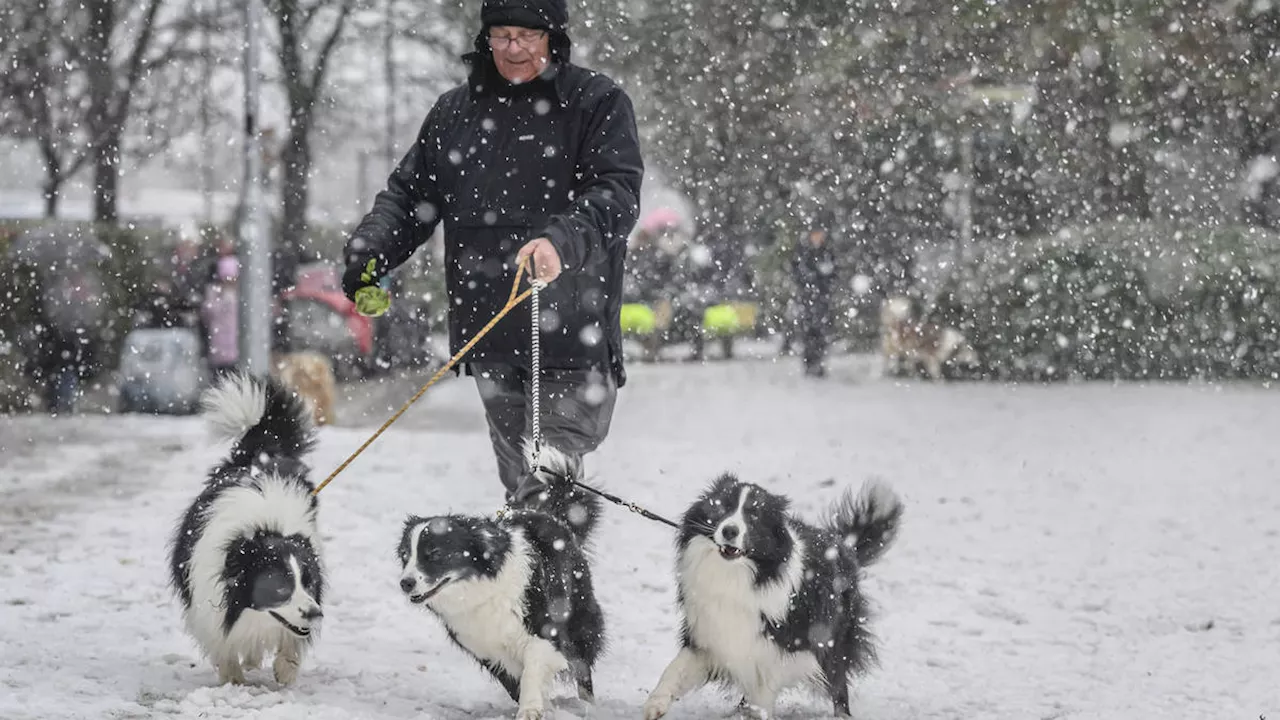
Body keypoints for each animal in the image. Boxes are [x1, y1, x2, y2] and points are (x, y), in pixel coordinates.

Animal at [167, 368, 327, 681]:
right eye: (280, 588)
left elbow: (289, 642)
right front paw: (234, 680)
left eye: (309, 582)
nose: (316, 614)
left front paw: (285, 669)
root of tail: (257, 453)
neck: (265, 528)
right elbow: (224, 645)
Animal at [394, 443, 604, 717]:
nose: (405, 583)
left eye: (435, 554)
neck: (480, 590)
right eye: (405, 556)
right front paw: (540, 705)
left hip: (578, 614)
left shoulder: (544, 629)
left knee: (582, 664)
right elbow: (514, 683)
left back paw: (588, 704)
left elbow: (532, 670)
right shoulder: (486, 649)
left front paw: (531, 709)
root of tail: (551, 514)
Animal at [645, 474, 906, 712]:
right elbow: (675, 669)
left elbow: (763, 691)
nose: (729, 530)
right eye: (723, 507)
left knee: (838, 684)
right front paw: (655, 704)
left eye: (754, 515)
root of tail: (842, 544)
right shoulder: (710, 636)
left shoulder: (780, 650)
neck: (737, 576)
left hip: (831, 637)